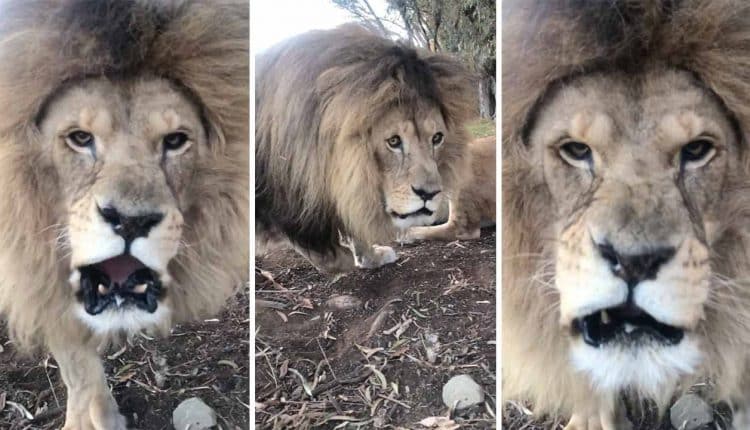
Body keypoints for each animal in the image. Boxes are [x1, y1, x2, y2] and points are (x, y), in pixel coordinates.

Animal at [256, 23, 472, 274]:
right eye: (394, 141)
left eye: (437, 138)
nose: (429, 194)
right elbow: (325, 251)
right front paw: (344, 258)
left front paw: (370, 257)